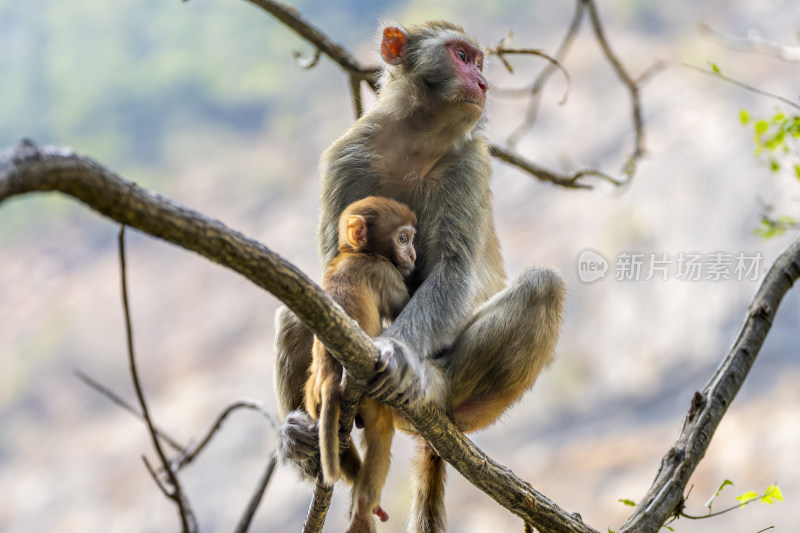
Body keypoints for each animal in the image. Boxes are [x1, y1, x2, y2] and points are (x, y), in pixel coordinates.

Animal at [304, 195, 418, 532]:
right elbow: (400, 308)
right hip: (365, 397)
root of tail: (330, 377)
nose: (413, 254)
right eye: (403, 238)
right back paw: (365, 505)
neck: (355, 253)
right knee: (380, 428)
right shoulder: (384, 272)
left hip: (317, 402)